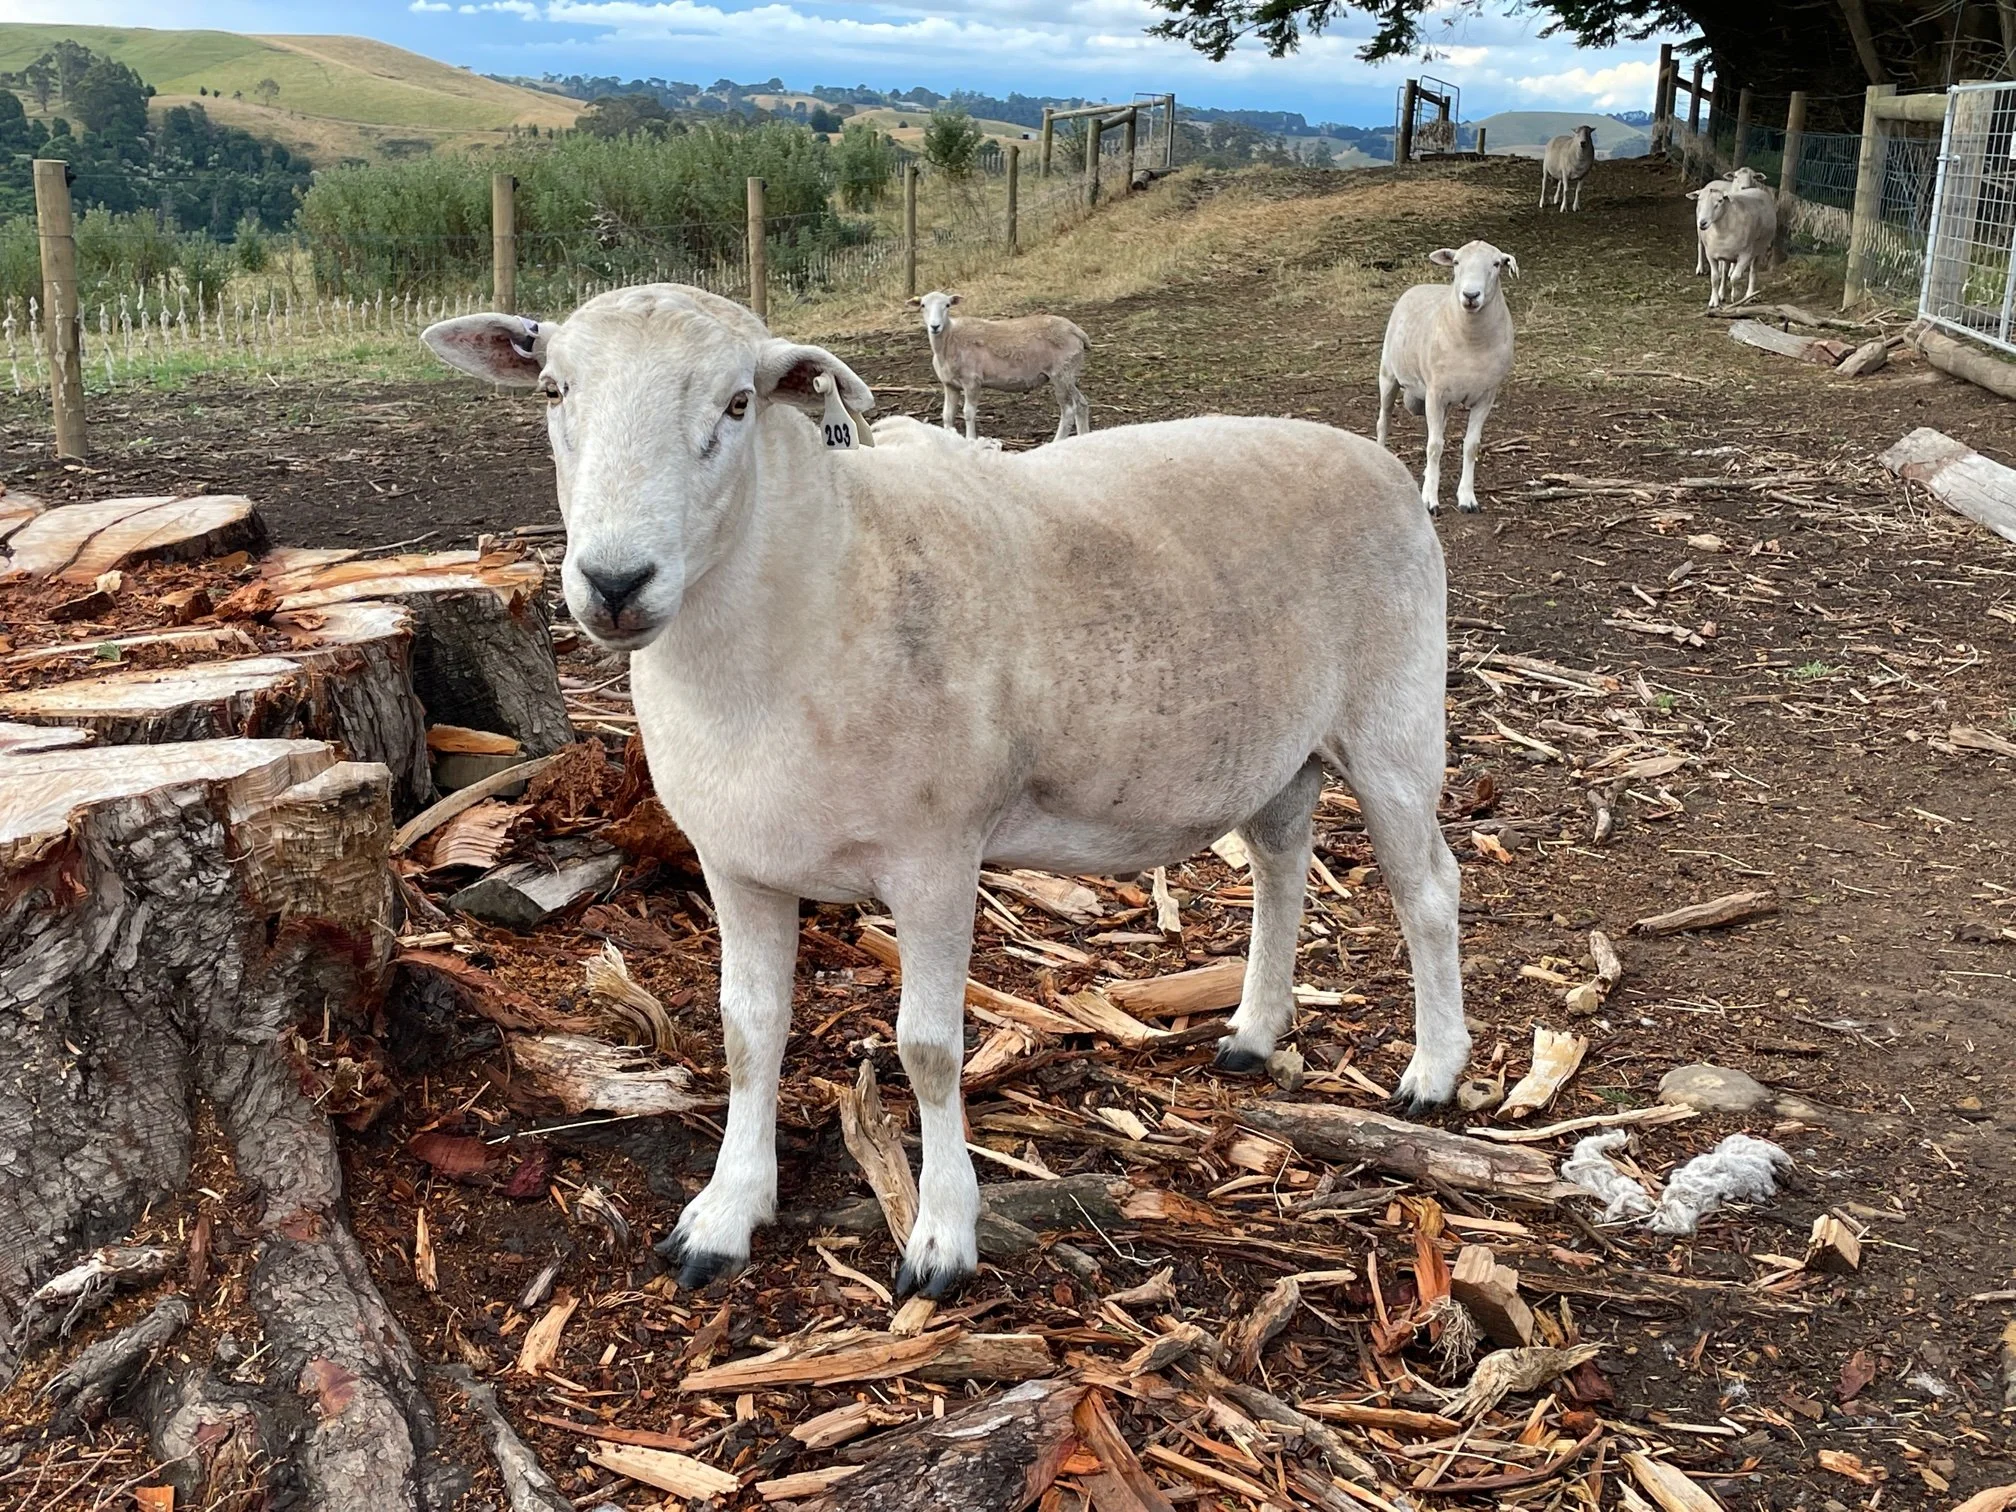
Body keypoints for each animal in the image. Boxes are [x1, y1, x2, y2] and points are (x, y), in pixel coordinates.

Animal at [911, 290, 1090, 443]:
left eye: (947, 305)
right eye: (923, 305)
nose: (935, 326)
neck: (950, 339)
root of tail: (1077, 331)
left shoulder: (972, 381)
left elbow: (968, 413)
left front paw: (971, 439)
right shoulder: (950, 385)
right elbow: (947, 416)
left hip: (1060, 373)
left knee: (1068, 410)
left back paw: (1057, 441)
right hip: (1069, 373)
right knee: (1081, 404)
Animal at [1376, 241, 1518, 515]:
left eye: (1497, 264)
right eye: (1456, 262)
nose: (1471, 295)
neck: (1472, 343)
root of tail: (1420, 286)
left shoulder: (1486, 396)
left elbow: (1470, 446)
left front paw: (1467, 498)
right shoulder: (1435, 392)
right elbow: (1434, 446)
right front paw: (1429, 500)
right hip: (1388, 374)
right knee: (1384, 421)